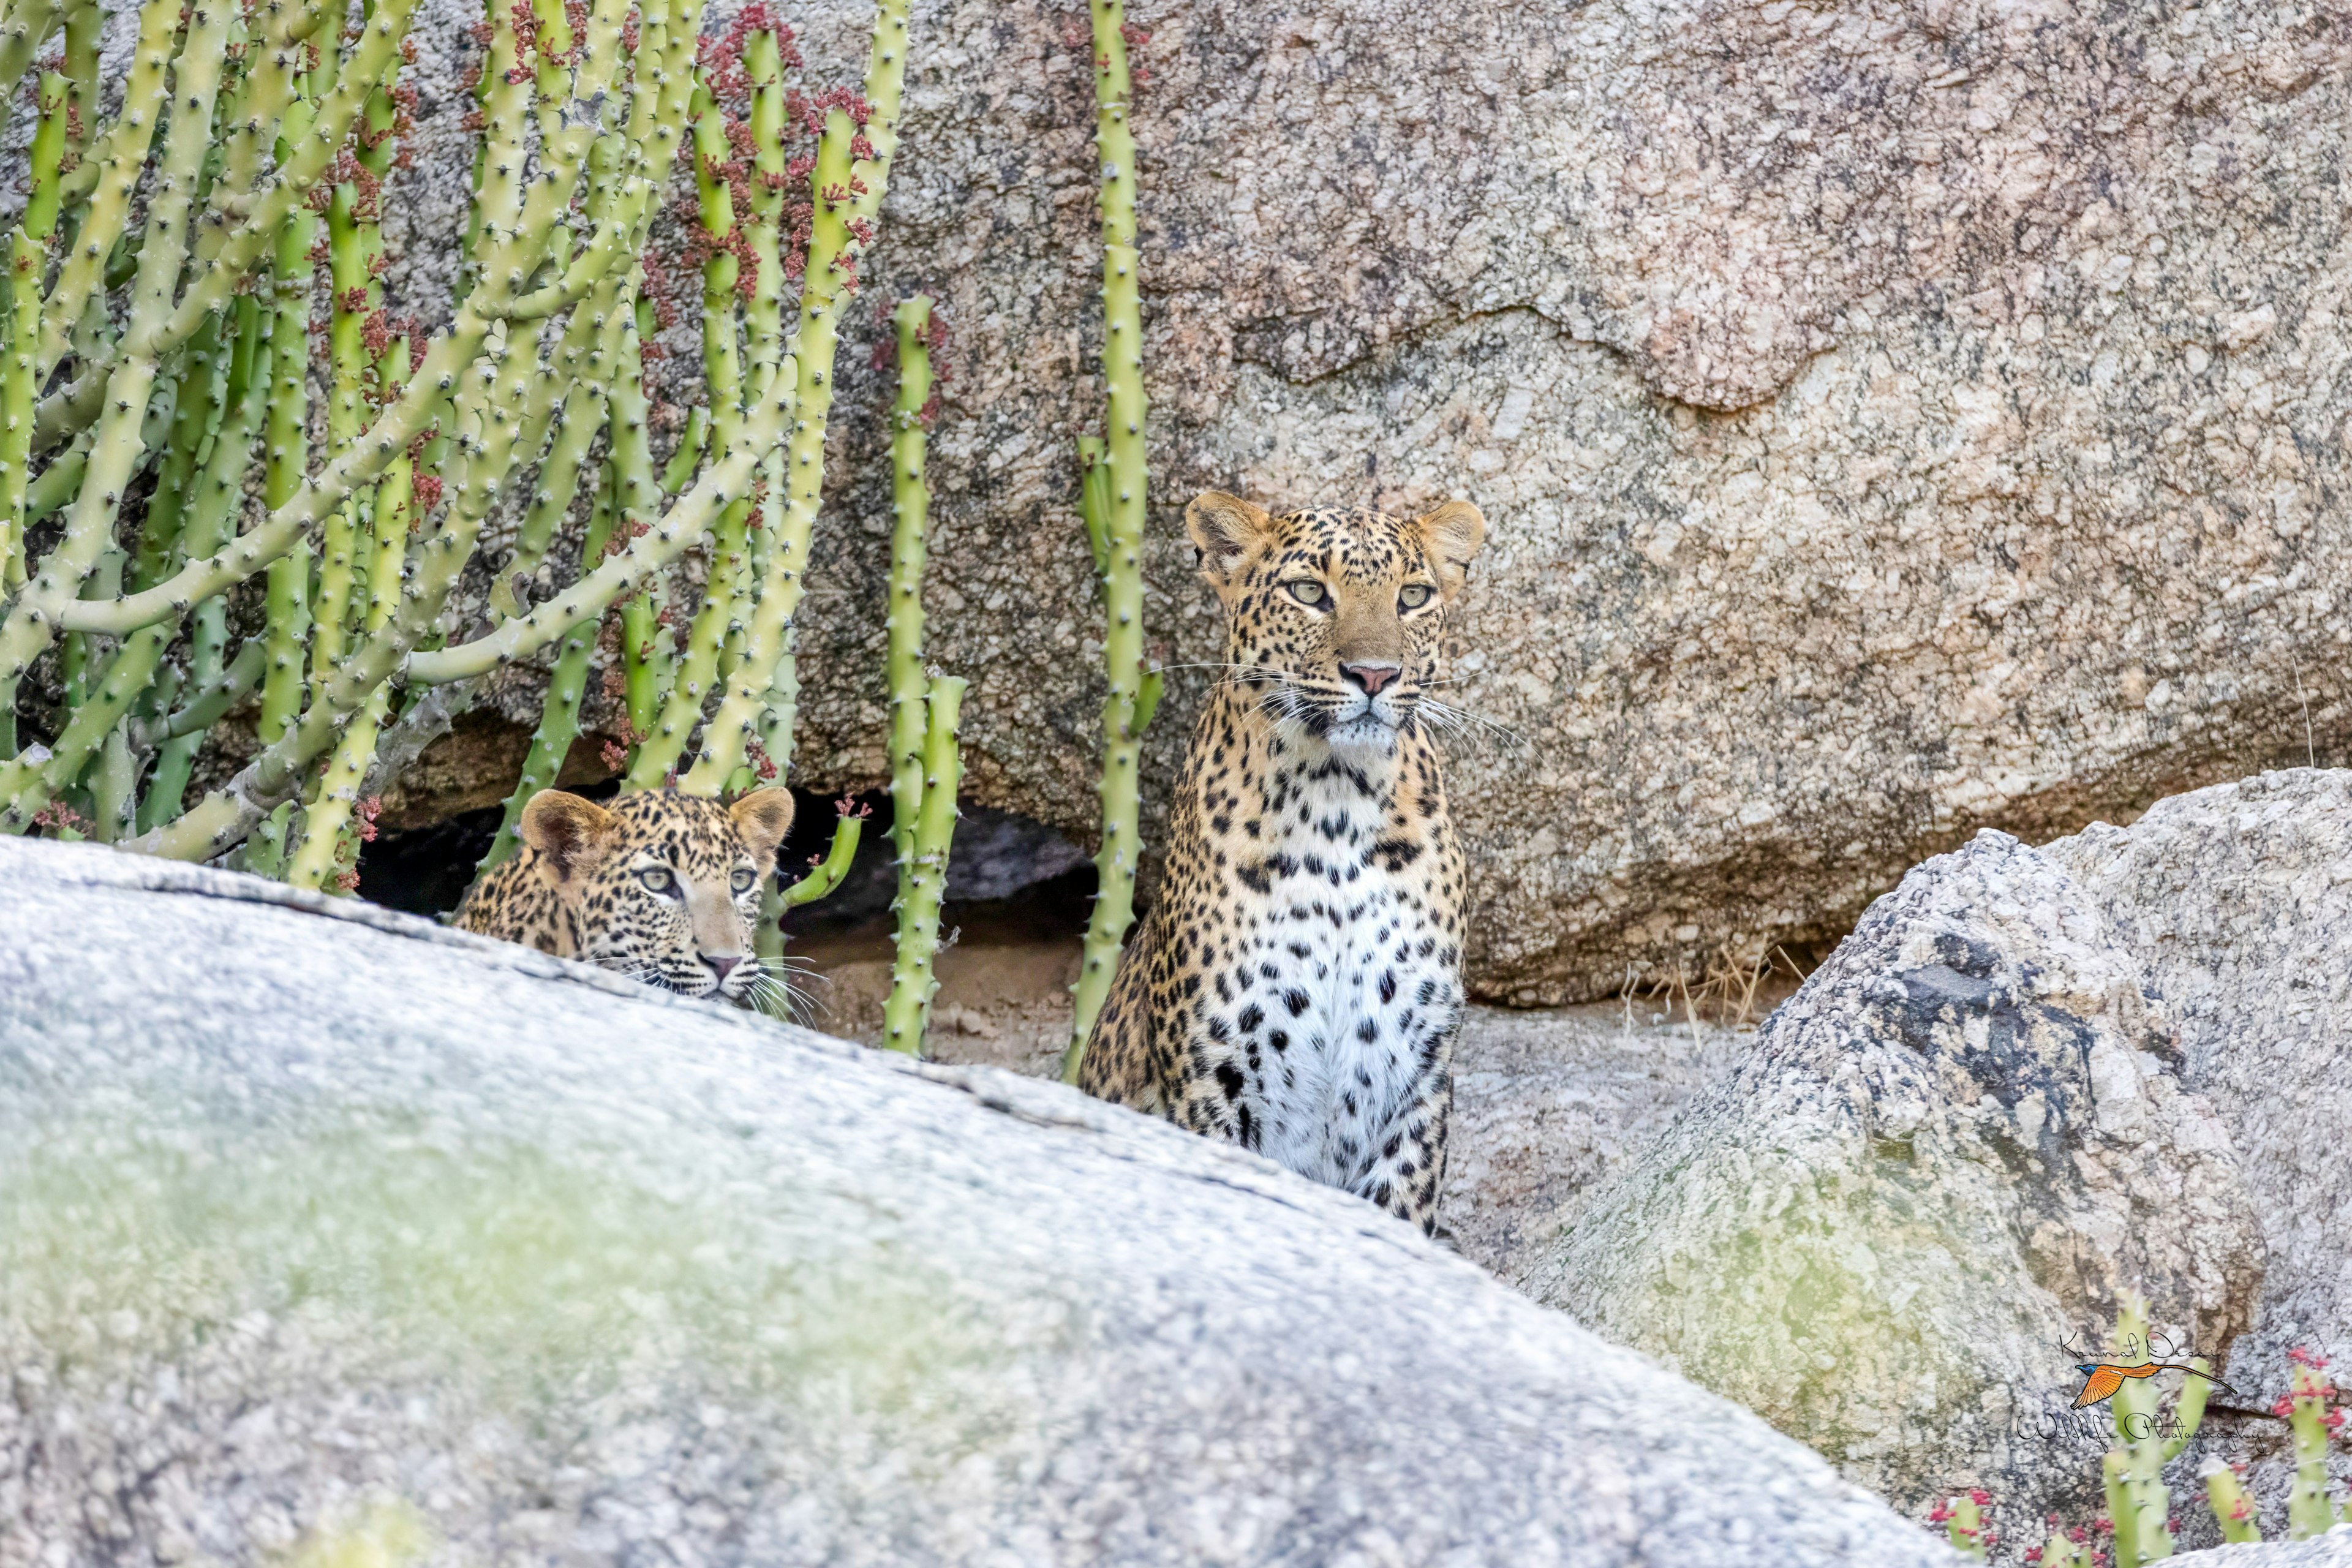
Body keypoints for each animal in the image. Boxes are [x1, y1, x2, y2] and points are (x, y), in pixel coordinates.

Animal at [1077, 493, 1486, 1241]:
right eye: (1309, 592)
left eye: (1412, 597)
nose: (1376, 674)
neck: (1337, 804)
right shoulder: (1212, 1077)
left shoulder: (1418, 1075)